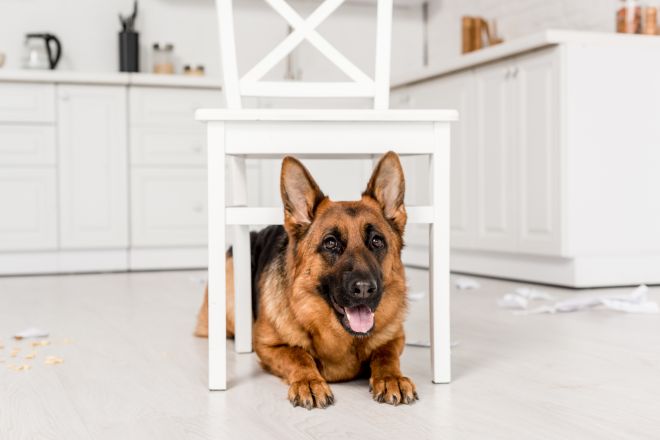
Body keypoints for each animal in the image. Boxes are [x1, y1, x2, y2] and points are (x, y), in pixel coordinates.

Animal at [193, 151, 418, 410]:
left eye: (377, 241)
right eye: (330, 243)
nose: (364, 289)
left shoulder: (395, 338)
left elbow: (385, 354)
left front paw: (392, 378)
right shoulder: (269, 346)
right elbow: (298, 355)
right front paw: (310, 381)